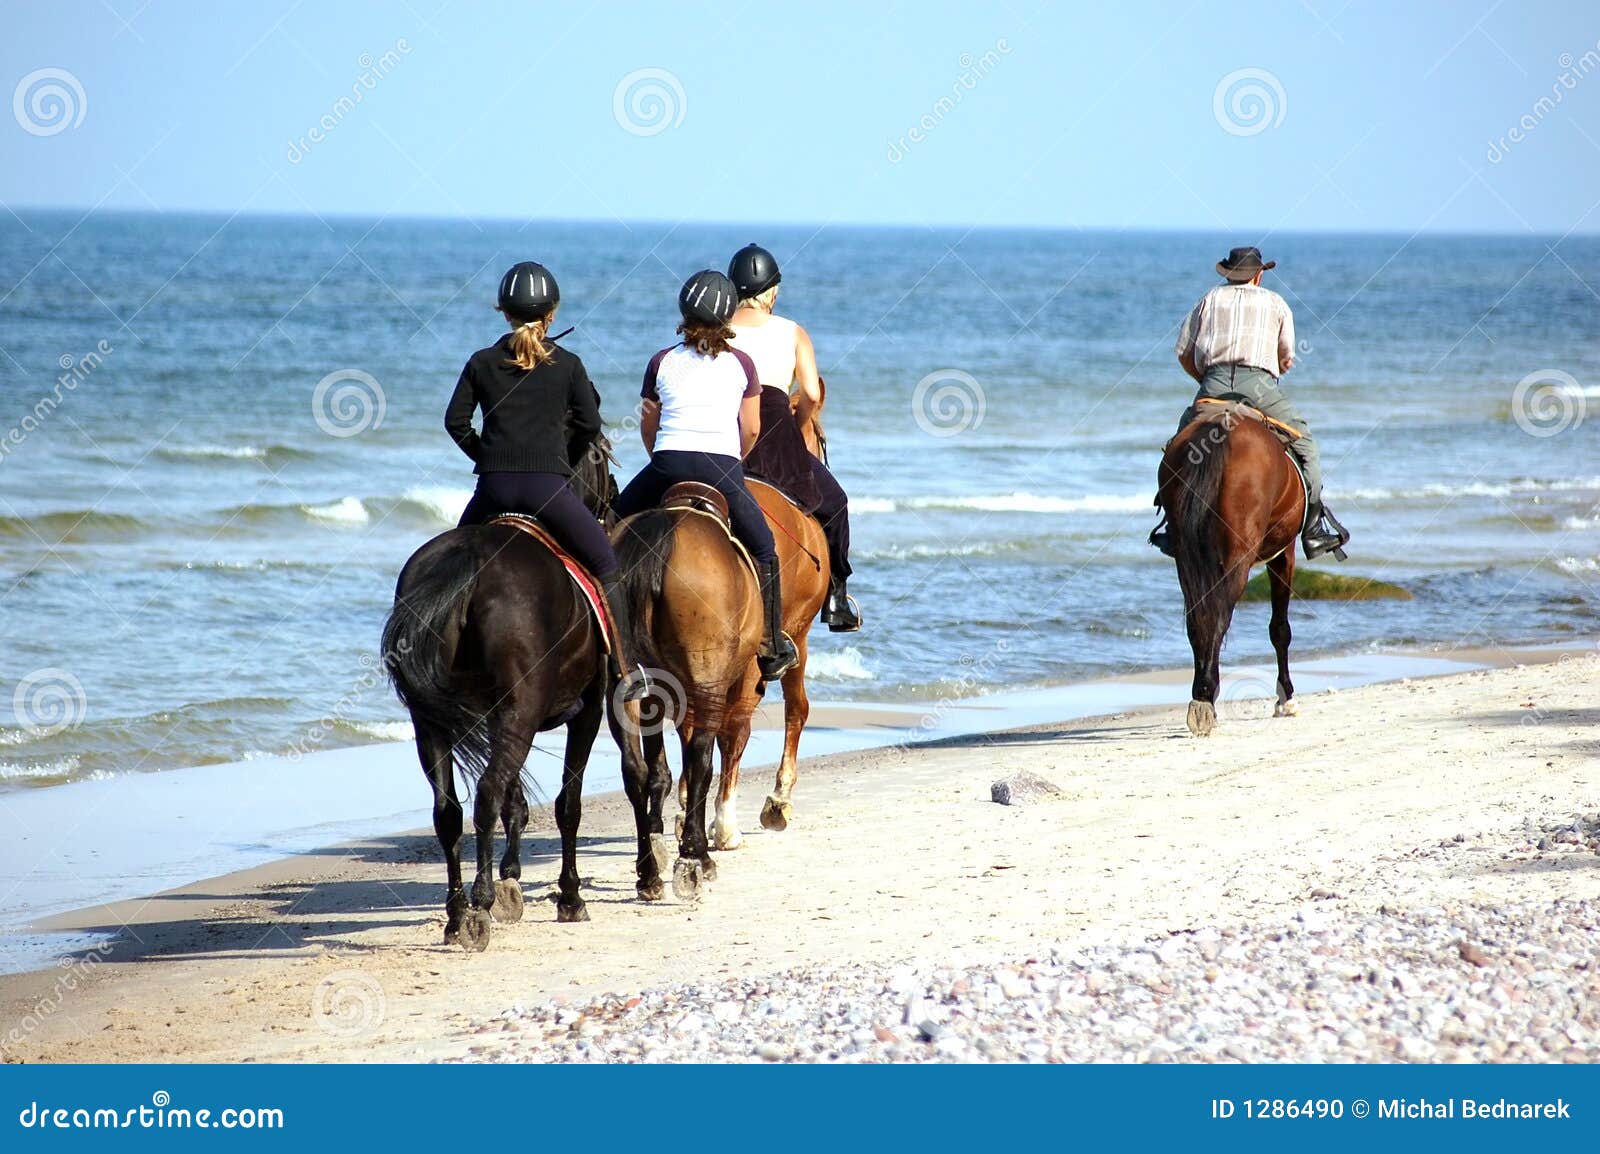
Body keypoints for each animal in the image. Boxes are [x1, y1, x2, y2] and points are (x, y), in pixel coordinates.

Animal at [381, 438, 662, 951]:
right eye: (603, 457)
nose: (612, 504)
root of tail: (469, 565)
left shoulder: (499, 718)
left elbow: (519, 800)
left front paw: (512, 878)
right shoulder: (587, 710)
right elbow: (569, 804)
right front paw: (572, 896)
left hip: (435, 724)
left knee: (449, 810)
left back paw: (457, 913)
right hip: (520, 713)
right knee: (487, 792)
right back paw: (480, 904)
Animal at [611, 488, 764, 899]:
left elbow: (658, 770)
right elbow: (708, 756)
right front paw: (696, 849)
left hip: (626, 686)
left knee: (635, 768)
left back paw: (648, 872)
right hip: (708, 682)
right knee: (701, 759)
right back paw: (694, 860)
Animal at [1156, 405, 1305, 737]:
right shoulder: (1284, 554)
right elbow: (1280, 629)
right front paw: (1285, 698)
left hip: (1186, 558)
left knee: (1198, 617)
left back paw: (1201, 696)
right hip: (1239, 557)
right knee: (1220, 615)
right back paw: (1206, 696)